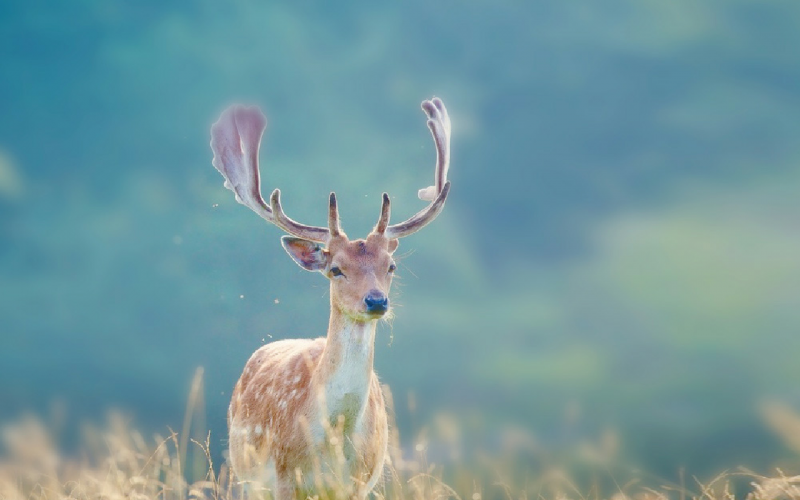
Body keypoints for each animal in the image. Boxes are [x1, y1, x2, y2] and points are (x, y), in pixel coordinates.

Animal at [209, 97, 452, 499]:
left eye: (391, 266)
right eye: (336, 269)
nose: (376, 302)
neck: (334, 440)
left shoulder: (359, 483)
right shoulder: (284, 478)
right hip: (245, 474)